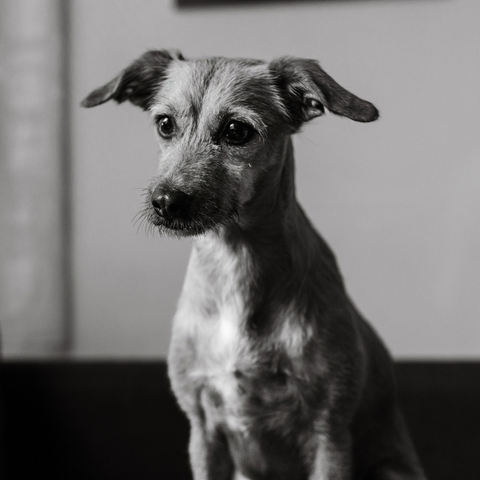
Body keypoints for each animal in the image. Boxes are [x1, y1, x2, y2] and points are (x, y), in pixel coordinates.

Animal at [83, 51, 428, 480]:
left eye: (236, 130)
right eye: (165, 124)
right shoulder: (203, 432)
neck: (236, 259)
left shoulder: (329, 433)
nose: (165, 201)